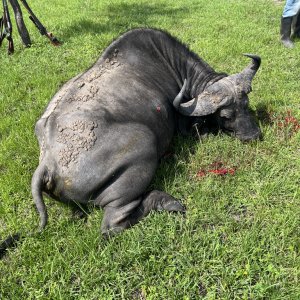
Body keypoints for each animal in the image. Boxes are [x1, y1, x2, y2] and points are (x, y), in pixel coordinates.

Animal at [0, 28, 262, 256]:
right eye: (226, 115)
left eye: (246, 104)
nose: (253, 136)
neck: (168, 63)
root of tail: (48, 163)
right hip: (143, 145)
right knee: (112, 226)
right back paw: (166, 202)